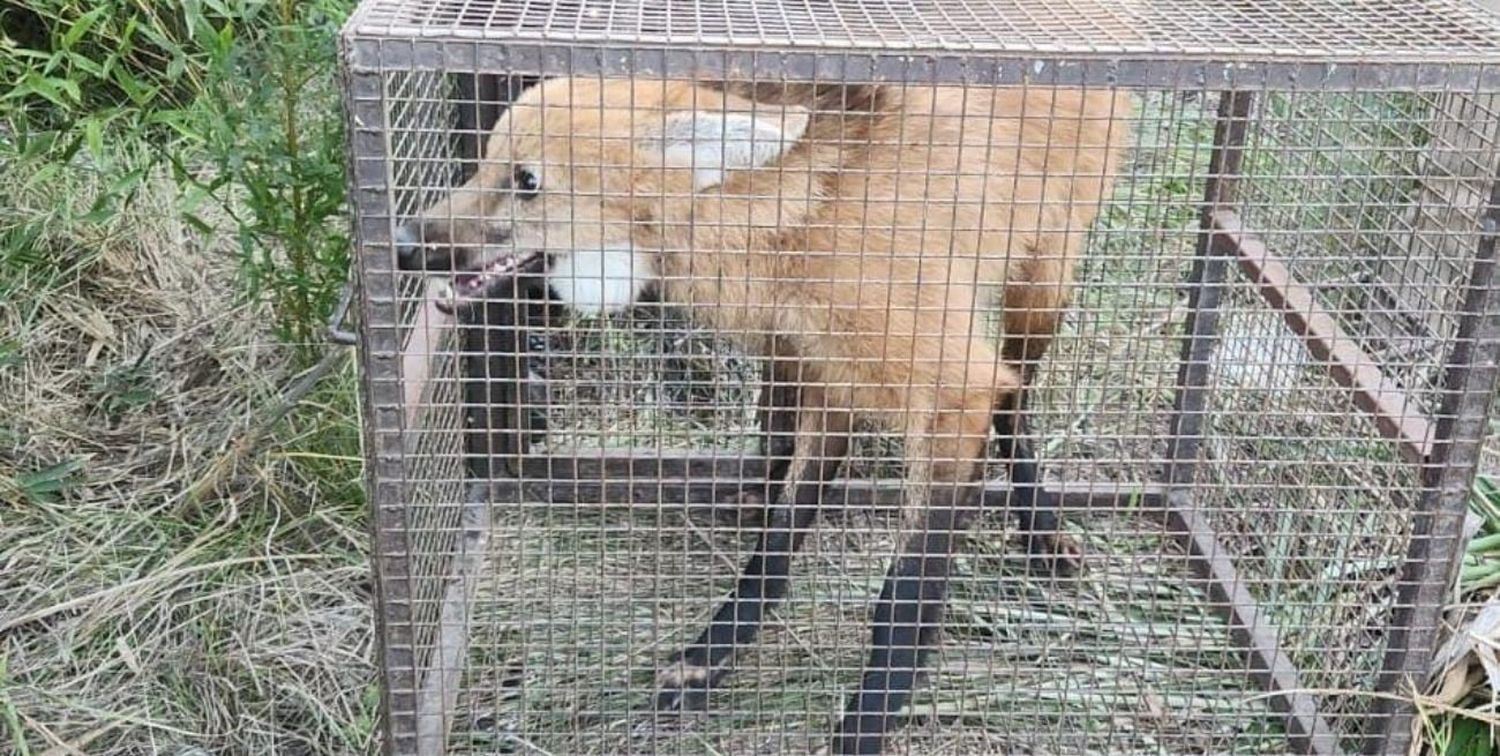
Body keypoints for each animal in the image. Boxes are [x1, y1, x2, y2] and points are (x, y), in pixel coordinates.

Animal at [393, 75, 1128, 750]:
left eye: (526, 180)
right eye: (484, 162)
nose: (404, 242)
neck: (800, 216)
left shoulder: (949, 385)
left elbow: (903, 593)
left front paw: (869, 720)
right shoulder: (824, 361)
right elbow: (780, 532)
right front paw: (711, 655)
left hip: (1042, 275)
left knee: (1017, 395)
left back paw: (1042, 530)